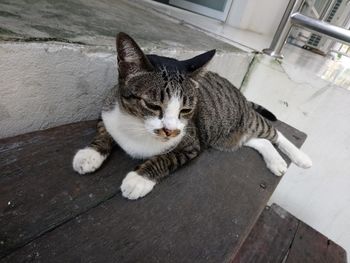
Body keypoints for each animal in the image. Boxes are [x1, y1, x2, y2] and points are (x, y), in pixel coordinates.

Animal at [72, 33, 312, 202]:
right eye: (153, 105)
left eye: (186, 110)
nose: (170, 131)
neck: (136, 128)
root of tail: (240, 93)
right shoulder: (106, 111)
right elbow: (103, 132)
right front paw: (90, 154)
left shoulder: (191, 144)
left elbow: (165, 158)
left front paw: (139, 179)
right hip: (225, 137)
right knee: (259, 141)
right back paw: (276, 161)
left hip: (245, 120)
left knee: (273, 132)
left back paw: (300, 158)